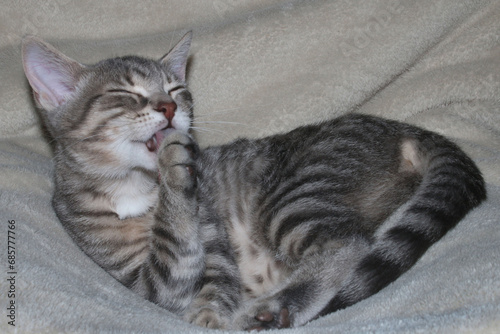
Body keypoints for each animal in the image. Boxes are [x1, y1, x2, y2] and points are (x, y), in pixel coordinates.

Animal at [21, 32, 486, 330]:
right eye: (126, 93)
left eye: (176, 89)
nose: (169, 109)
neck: (136, 189)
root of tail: (405, 129)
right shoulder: (138, 281)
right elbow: (174, 263)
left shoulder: (212, 238)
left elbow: (211, 275)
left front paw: (210, 316)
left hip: (293, 193)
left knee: (347, 242)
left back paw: (279, 306)